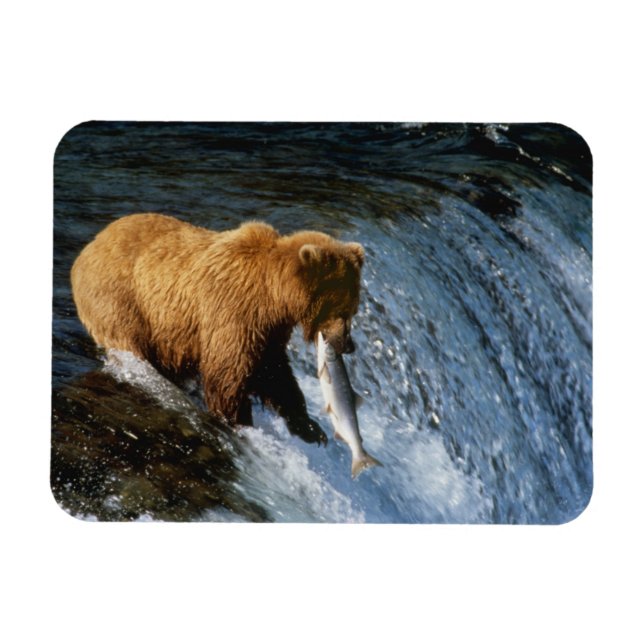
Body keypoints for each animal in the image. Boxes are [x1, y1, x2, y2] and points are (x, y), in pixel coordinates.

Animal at [70, 213, 365, 446]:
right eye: (343, 311)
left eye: (353, 310)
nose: (349, 345)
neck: (274, 297)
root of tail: (87, 249)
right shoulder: (233, 311)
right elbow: (227, 374)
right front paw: (238, 422)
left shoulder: (267, 330)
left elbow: (275, 373)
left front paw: (310, 428)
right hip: (121, 301)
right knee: (129, 341)